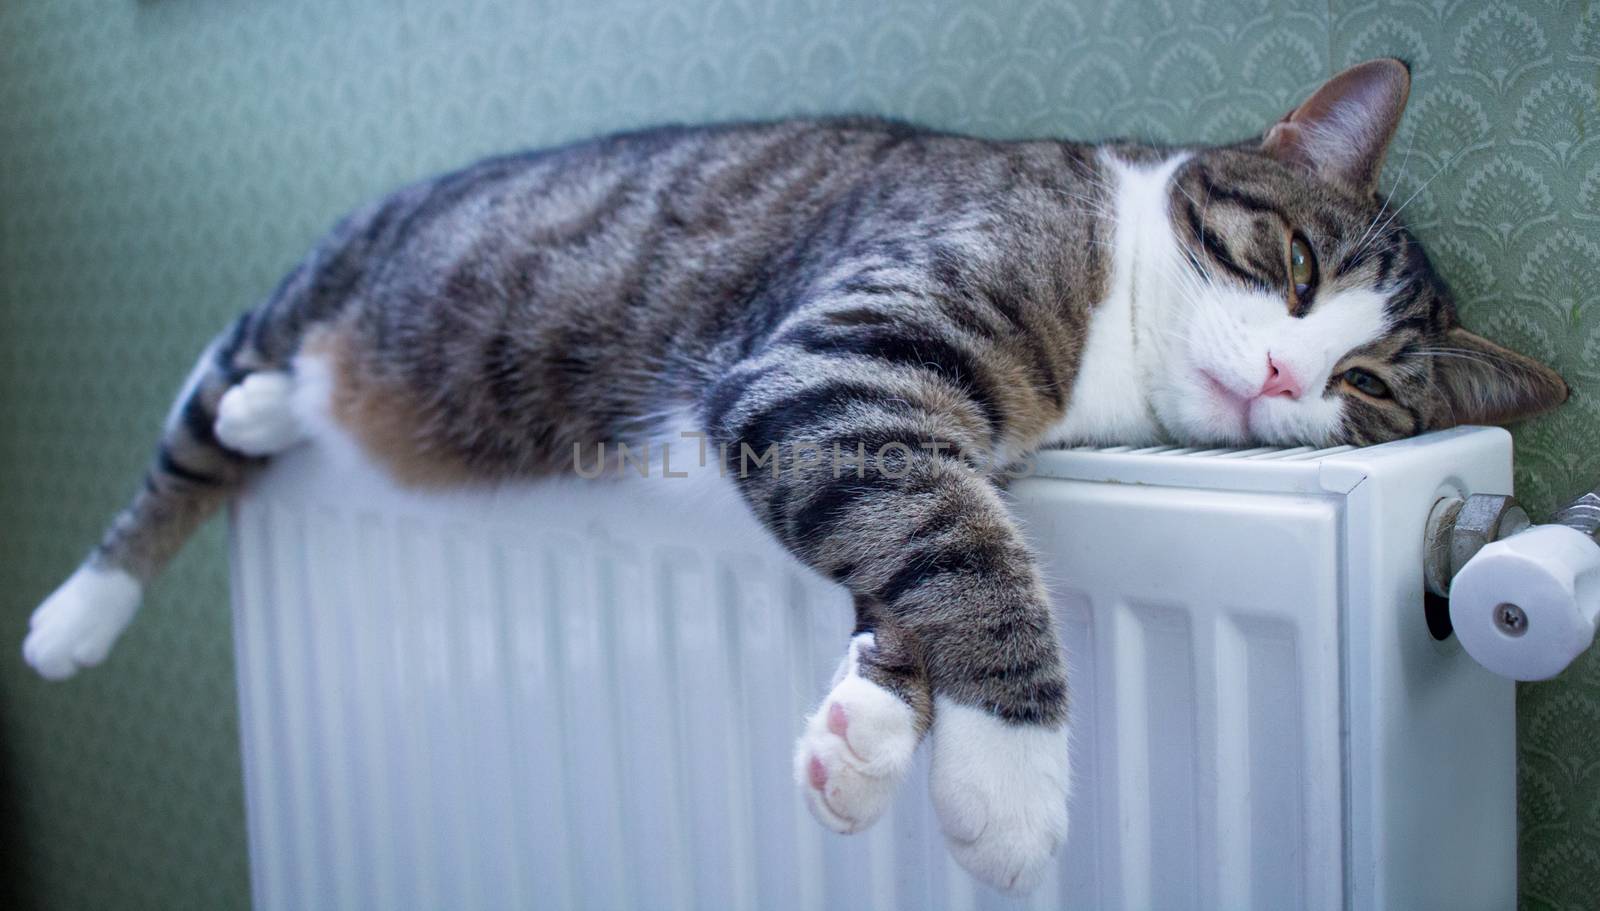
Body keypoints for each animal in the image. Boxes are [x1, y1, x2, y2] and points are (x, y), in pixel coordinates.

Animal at [21, 58, 1561, 890]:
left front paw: (869, 727)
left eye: (1370, 387)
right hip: (315, 288)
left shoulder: (907, 430)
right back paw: (82, 606)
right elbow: (966, 553)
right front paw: (1008, 784)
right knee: (186, 436)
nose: (1291, 379)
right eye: (1290, 267)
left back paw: (282, 411)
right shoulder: (825, 374)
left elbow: (920, 552)